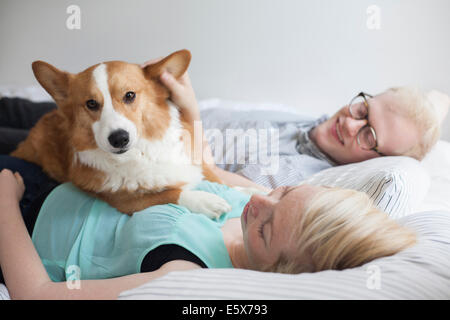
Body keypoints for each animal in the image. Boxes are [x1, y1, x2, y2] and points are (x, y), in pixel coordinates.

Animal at [11, 49, 232, 218]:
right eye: (91, 103)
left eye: (130, 95)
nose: (119, 139)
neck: (142, 153)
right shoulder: (126, 201)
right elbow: (170, 194)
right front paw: (205, 200)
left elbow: (223, 182)